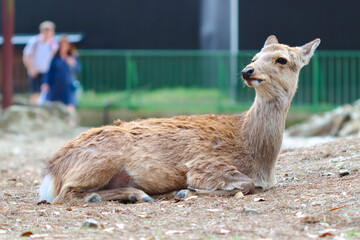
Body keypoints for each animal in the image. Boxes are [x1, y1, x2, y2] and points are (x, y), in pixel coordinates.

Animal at [39, 35, 320, 203]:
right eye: (254, 57)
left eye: (282, 59)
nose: (247, 71)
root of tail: (51, 170)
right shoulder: (202, 163)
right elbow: (246, 183)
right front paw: (186, 190)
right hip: (102, 158)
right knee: (65, 194)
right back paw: (125, 195)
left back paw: (137, 194)